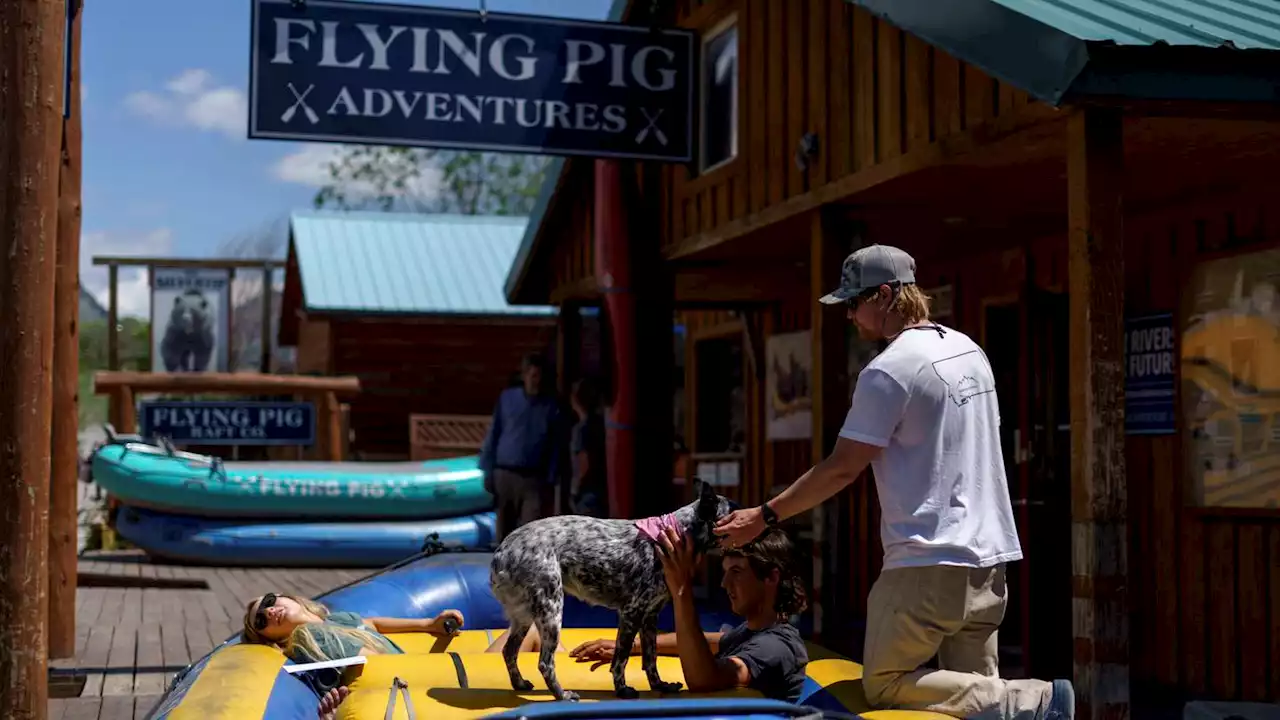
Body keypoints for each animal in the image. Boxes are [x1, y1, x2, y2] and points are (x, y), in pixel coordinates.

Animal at [488, 479, 737, 696]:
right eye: (735, 511)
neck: (674, 533)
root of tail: (502, 552)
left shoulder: (650, 617)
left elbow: (651, 659)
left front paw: (659, 686)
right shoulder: (631, 613)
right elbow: (621, 658)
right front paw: (622, 690)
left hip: (525, 617)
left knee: (509, 652)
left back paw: (520, 684)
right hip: (551, 613)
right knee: (545, 663)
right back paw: (562, 695)